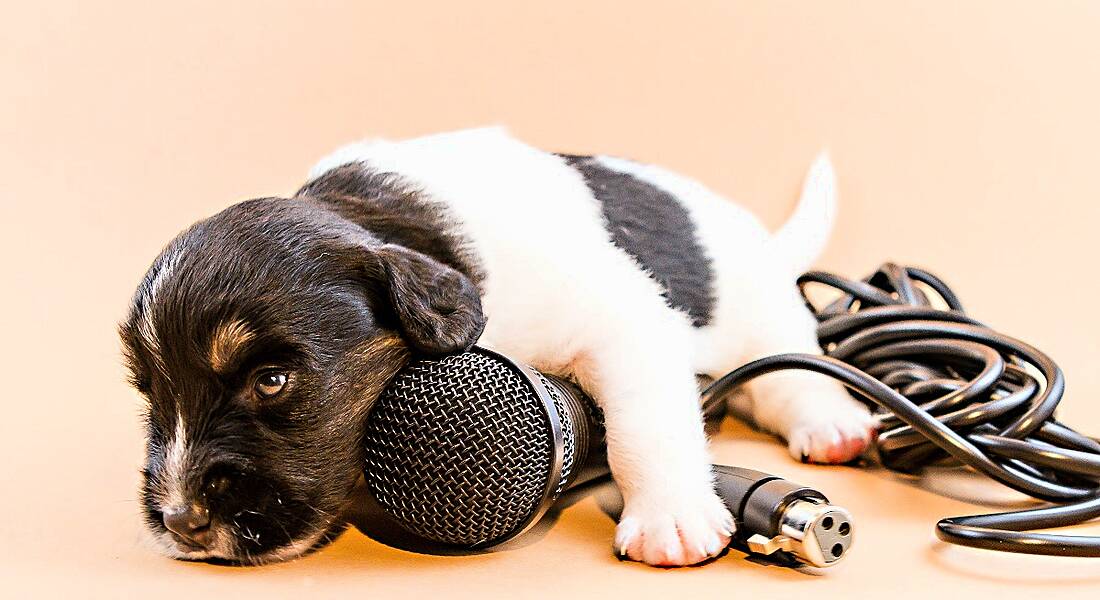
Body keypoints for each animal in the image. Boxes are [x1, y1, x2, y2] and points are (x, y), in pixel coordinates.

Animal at [120, 126, 871, 568]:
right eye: (150, 395)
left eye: (272, 381)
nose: (181, 521)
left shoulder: (622, 320)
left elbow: (644, 427)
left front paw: (671, 516)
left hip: (763, 314)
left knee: (789, 373)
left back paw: (829, 422)